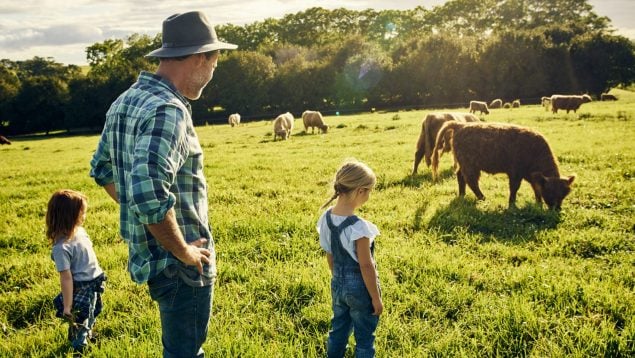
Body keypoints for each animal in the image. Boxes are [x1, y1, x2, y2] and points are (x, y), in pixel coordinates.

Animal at [432, 121, 576, 210]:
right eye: (550, 191)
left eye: (565, 194)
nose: (557, 209)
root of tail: (460, 125)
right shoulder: (515, 172)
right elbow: (514, 188)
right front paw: (512, 205)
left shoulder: (530, 176)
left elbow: (536, 188)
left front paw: (538, 204)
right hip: (470, 165)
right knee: (471, 181)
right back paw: (483, 198)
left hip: (465, 164)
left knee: (460, 176)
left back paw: (462, 195)